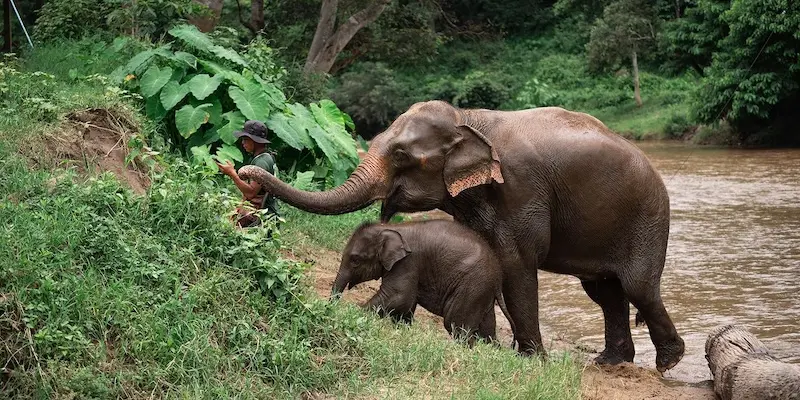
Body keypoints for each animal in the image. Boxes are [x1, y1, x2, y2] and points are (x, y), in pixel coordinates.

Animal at [330, 220, 512, 346]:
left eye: (355, 260)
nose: (333, 308)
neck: (390, 227)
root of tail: (498, 277)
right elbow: (405, 306)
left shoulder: (407, 263)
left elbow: (399, 297)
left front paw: (355, 312)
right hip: (482, 292)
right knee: (487, 331)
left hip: (472, 286)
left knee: (456, 325)